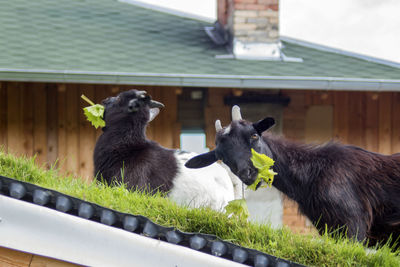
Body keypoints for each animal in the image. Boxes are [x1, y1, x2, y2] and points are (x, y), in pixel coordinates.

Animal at [187, 105, 400, 248]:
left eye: (254, 135)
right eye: (221, 156)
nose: (247, 173)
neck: (314, 174)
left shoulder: (354, 222)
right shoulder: (330, 229)